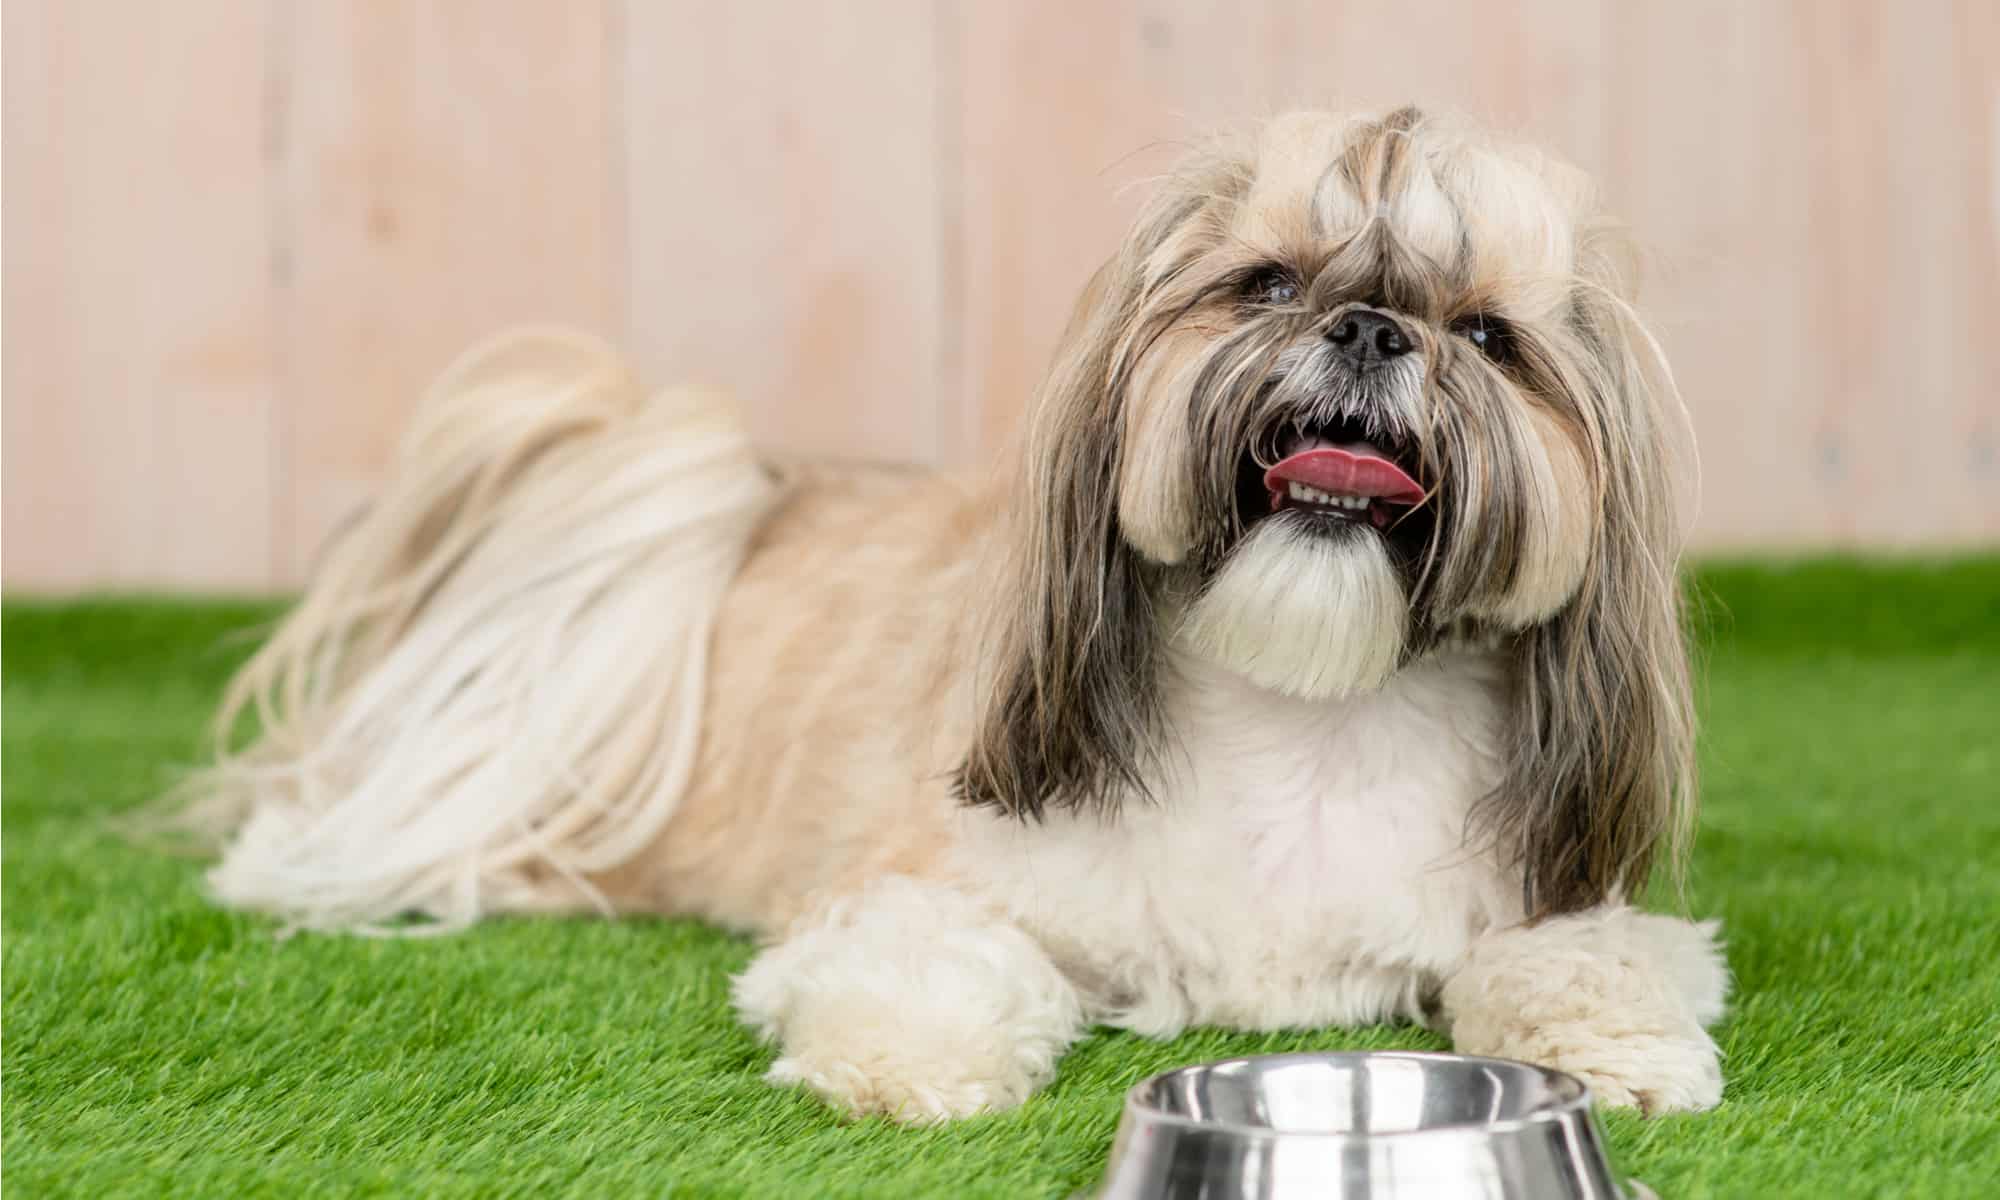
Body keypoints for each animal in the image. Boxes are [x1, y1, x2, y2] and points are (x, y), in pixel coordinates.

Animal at [180, 108, 1728, 1120]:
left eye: (1488, 338)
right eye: (1268, 283)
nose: (1367, 326)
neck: (1306, 713)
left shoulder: (1545, 902)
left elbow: (1582, 965)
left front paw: (1625, 1061)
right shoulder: (930, 880)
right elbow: (938, 962)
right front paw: (897, 1063)